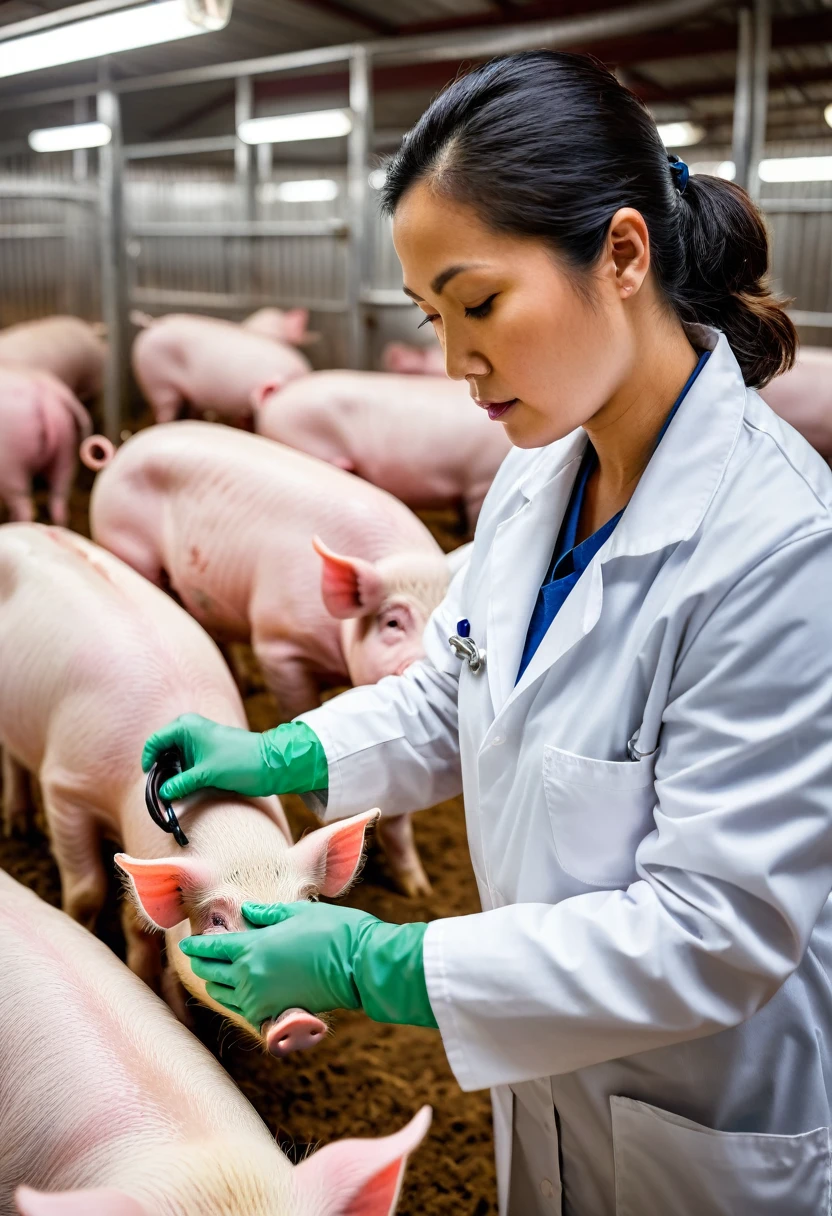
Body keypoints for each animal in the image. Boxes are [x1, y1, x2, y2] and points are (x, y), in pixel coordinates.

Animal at [0, 522, 379, 1055]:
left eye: (306, 907)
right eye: (217, 921)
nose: (300, 1024)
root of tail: (15, 528)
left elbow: (140, 923)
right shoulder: (66, 786)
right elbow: (89, 892)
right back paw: (17, 826)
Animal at [83, 423, 447, 899]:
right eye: (392, 622)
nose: (428, 668)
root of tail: (124, 449)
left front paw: (420, 892)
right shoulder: (279, 646)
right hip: (126, 544)